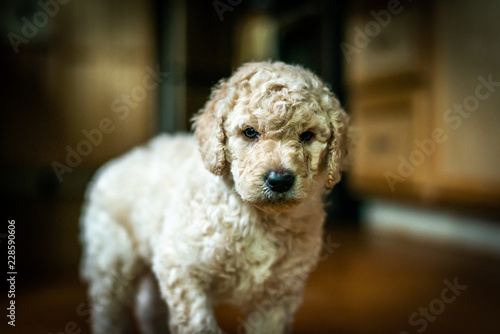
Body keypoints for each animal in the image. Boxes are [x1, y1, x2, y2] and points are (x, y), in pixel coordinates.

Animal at [80, 61, 350, 332]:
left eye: (307, 135)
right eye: (250, 132)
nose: (279, 180)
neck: (260, 218)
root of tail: (114, 164)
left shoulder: (277, 294)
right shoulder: (181, 267)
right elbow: (199, 323)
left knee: (149, 307)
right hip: (112, 259)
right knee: (109, 311)